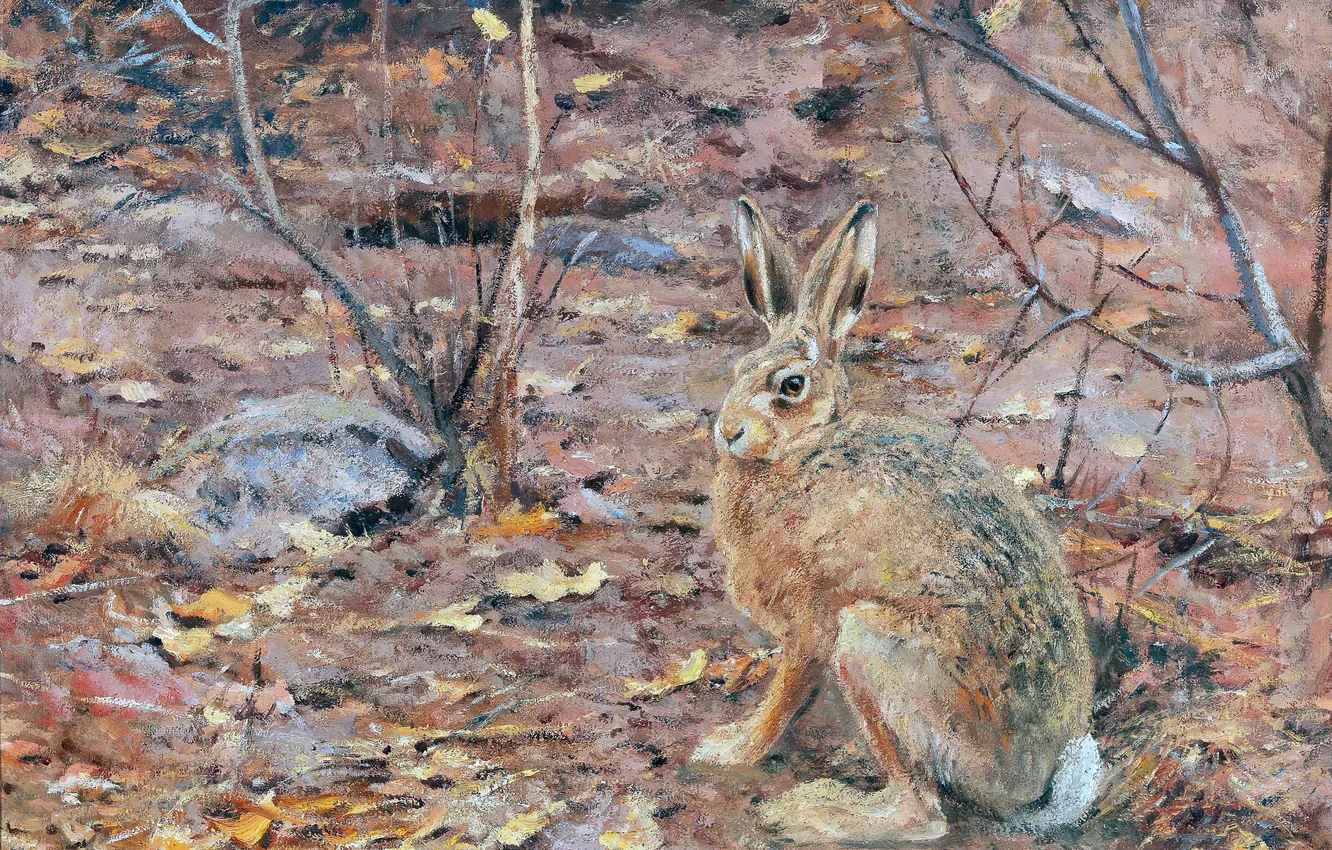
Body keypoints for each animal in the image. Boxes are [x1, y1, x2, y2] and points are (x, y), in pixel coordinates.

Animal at [690, 197, 1097, 844]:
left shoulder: (811, 627)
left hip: (872, 651)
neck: (804, 451)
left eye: (791, 386)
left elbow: (781, 699)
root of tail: (1028, 787)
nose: (728, 432)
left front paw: (730, 752)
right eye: (738, 369)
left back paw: (816, 812)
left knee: (923, 814)